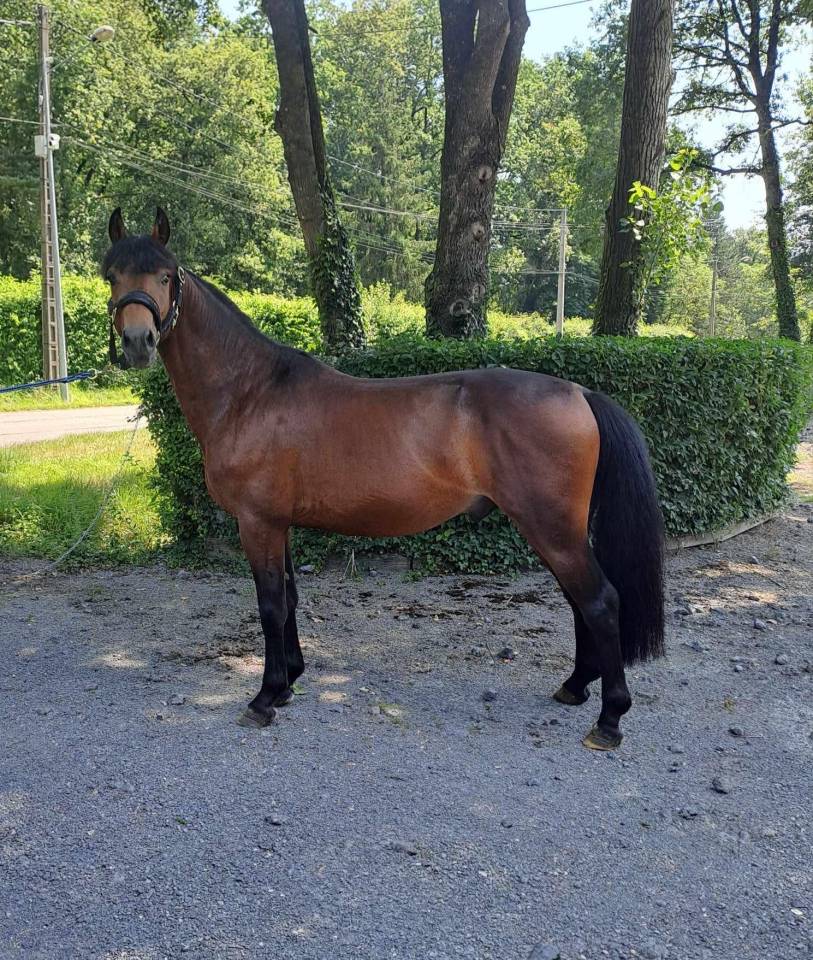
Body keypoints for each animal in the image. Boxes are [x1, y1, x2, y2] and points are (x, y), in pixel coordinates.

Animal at [104, 207, 664, 751]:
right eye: (111, 275)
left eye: (165, 275)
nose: (137, 342)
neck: (250, 393)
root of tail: (579, 392)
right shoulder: (278, 524)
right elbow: (290, 600)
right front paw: (288, 684)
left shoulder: (256, 523)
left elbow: (269, 606)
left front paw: (264, 698)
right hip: (557, 531)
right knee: (579, 601)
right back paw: (575, 685)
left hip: (551, 528)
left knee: (599, 601)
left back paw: (609, 718)